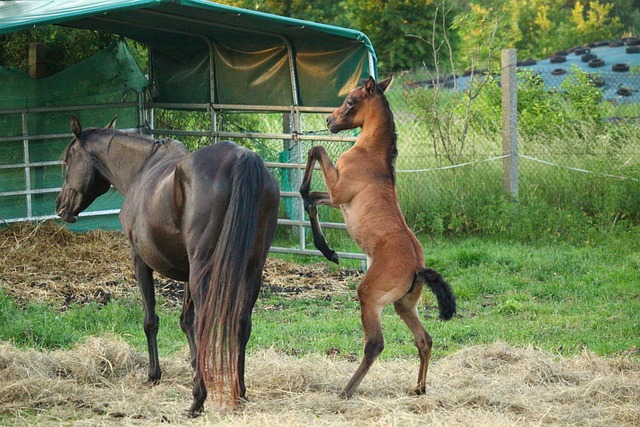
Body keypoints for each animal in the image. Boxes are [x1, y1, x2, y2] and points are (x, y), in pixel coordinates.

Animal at [53, 115, 276, 416]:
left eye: (68, 160)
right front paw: (195, 368)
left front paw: (154, 375)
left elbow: (151, 320)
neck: (142, 169)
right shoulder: (189, 273)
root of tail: (242, 157)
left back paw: (197, 401)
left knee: (207, 323)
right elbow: (186, 321)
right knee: (241, 323)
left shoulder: (140, 261)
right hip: (251, 270)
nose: (60, 205)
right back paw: (238, 394)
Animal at [300, 76, 456, 398]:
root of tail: (417, 267)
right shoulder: (338, 200)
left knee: (375, 344)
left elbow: (316, 151)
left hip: (370, 297)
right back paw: (419, 388)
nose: (329, 120)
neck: (371, 153)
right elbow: (312, 200)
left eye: (350, 101)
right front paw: (327, 250)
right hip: (404, 305)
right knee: (424, 340)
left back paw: (347, 391)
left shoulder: (339, 191)